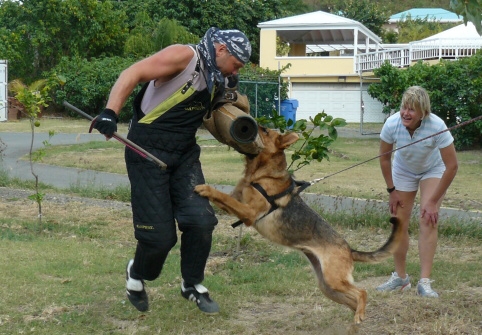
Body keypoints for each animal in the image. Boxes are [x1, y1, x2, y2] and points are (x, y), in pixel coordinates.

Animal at [196, 127, 402, 324]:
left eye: (264, 131)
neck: (262, 175)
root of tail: (349, 249)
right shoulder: (236, 204)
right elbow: (224, 197)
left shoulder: (249, 213)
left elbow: (221, 195)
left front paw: (206, 188)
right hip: (328, 287)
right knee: (353, 301)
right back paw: (356, 320)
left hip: (334, 281)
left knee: (362, 292)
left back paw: (359, 315)